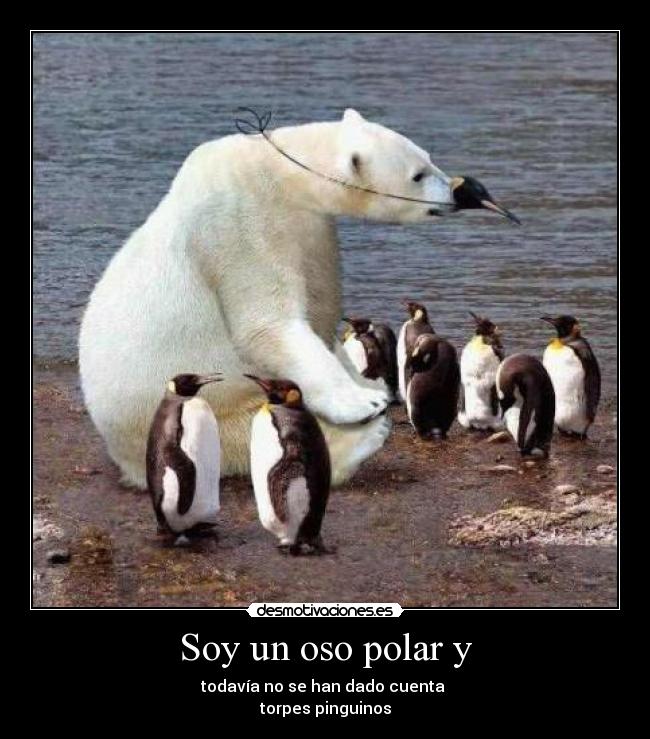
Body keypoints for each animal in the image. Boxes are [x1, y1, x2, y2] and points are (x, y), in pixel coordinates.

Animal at [79, 108, 458, 489]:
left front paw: (366, 381)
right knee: (244, 434)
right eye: (418, 174)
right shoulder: (240, 221)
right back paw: (360, 441)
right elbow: (268, 325)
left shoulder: (312, 231)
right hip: (185, 409)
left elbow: (319, 310)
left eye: (429, 157)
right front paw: (364, 401)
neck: (278, 172)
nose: (457, 190)